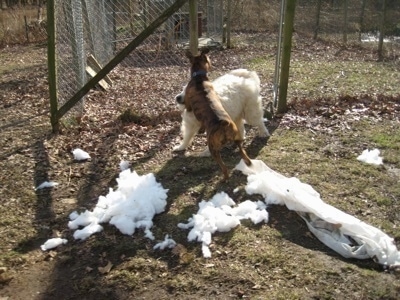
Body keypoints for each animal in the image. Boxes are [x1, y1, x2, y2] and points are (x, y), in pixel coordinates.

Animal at [183, 49, 252, 180]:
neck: (199, 77)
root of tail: (224, 123)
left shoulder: (189, 104)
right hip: (237, 139)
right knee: (242, 151)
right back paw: (248, 161)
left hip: (213, 149)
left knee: (224, 167)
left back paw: (224, 178)